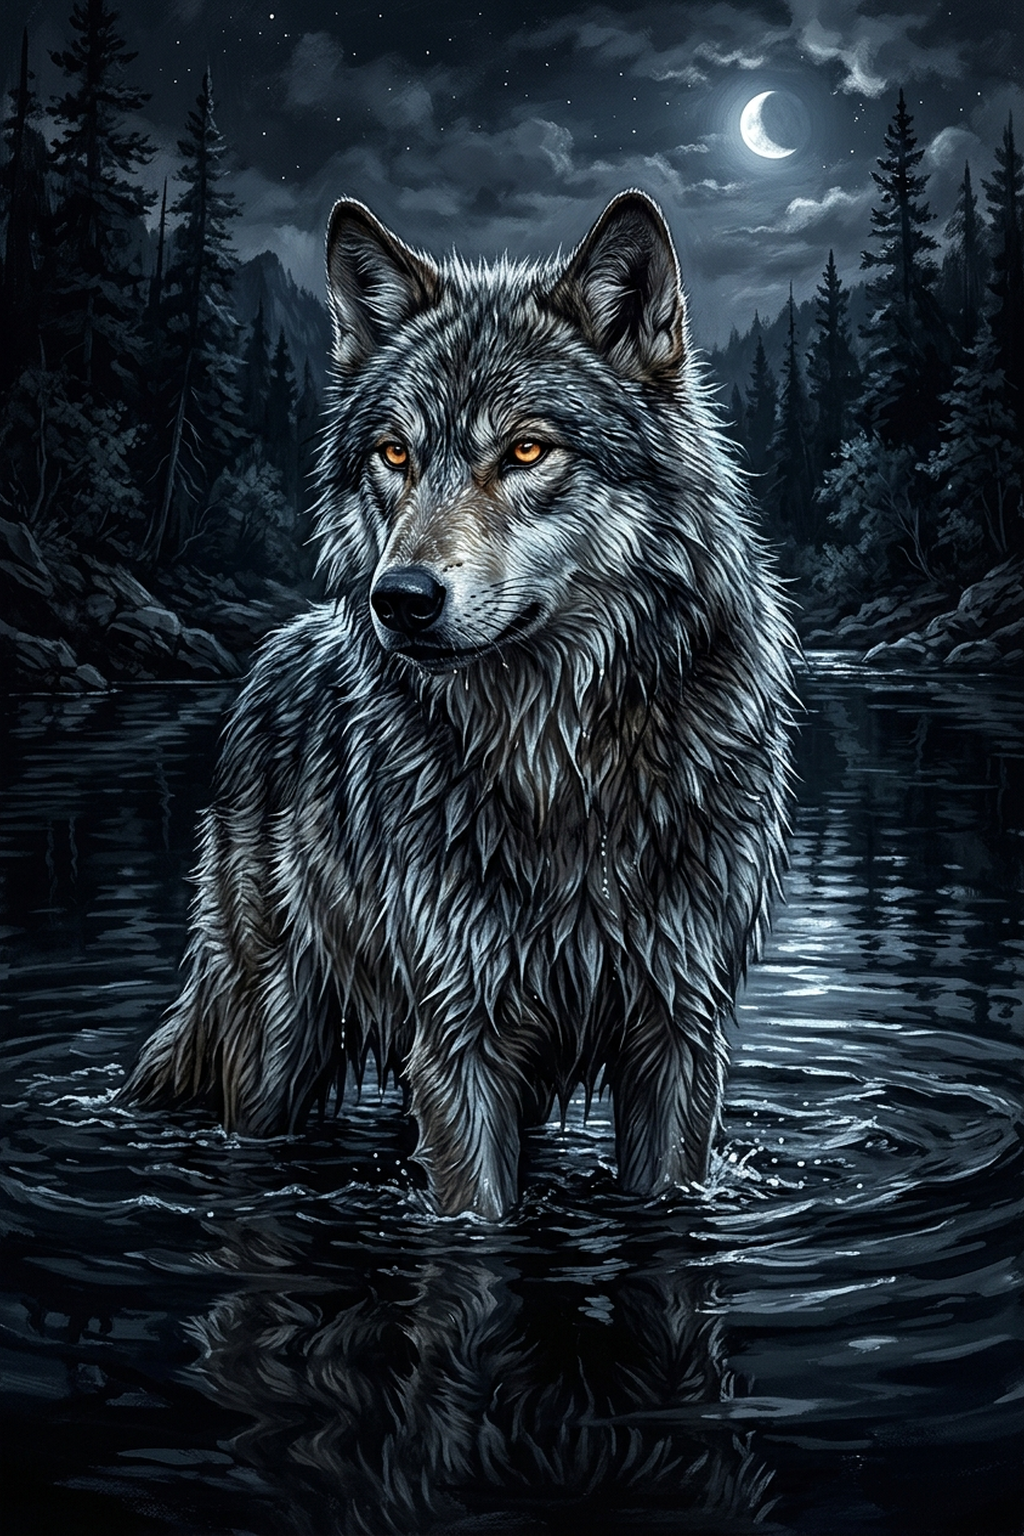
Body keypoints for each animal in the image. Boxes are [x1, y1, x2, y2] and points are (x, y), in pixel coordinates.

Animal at [124, 191, 795, 1219]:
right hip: (273, 1043)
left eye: (525, 449)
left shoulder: (677, 1034)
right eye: (395, 453)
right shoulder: (457, 1034)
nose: (398, 599)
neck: (561, 769)